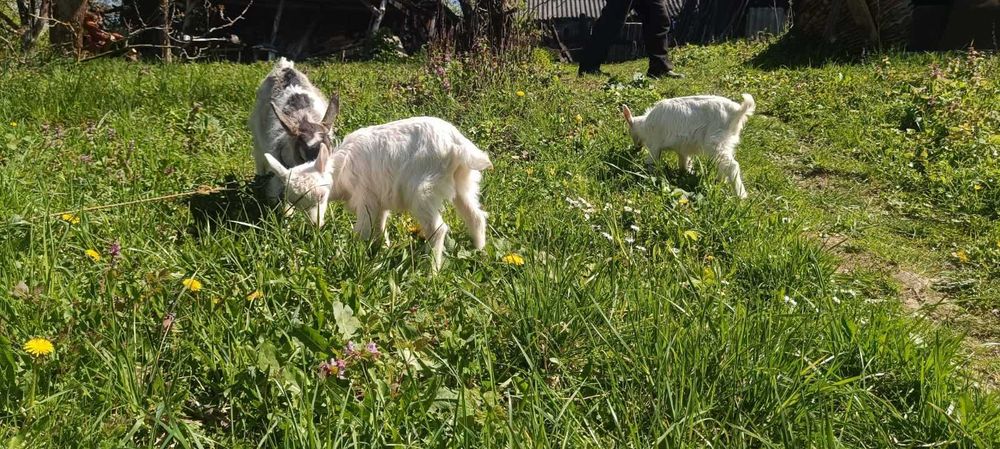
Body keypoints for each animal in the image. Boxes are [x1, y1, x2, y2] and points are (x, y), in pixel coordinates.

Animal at [261, 117, 492, 272]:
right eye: (295, 203)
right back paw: (479, 251)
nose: (315, 224)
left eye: (322, 196)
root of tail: (457, 145)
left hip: (423, 190)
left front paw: (350, 255)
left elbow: (363, 230)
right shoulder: (379, 200)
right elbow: (380, 229)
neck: (341, 170)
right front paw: (381, 252)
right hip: (463, 182)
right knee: (475, 216)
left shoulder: (366, 198)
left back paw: (432, 271)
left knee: (438, 228)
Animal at [622, 94, 755, 198]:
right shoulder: (682, 150)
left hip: (715, 141)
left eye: (629, 131)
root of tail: (737, 111)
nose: (637, 148)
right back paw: (719, 182)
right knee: (723, 164)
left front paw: (648, 175)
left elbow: (651, 162)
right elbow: (683, 162)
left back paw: (740, 196)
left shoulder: (654, 145)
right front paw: (685, 173)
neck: (645, 125)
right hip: (725, 143)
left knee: (732, 165)